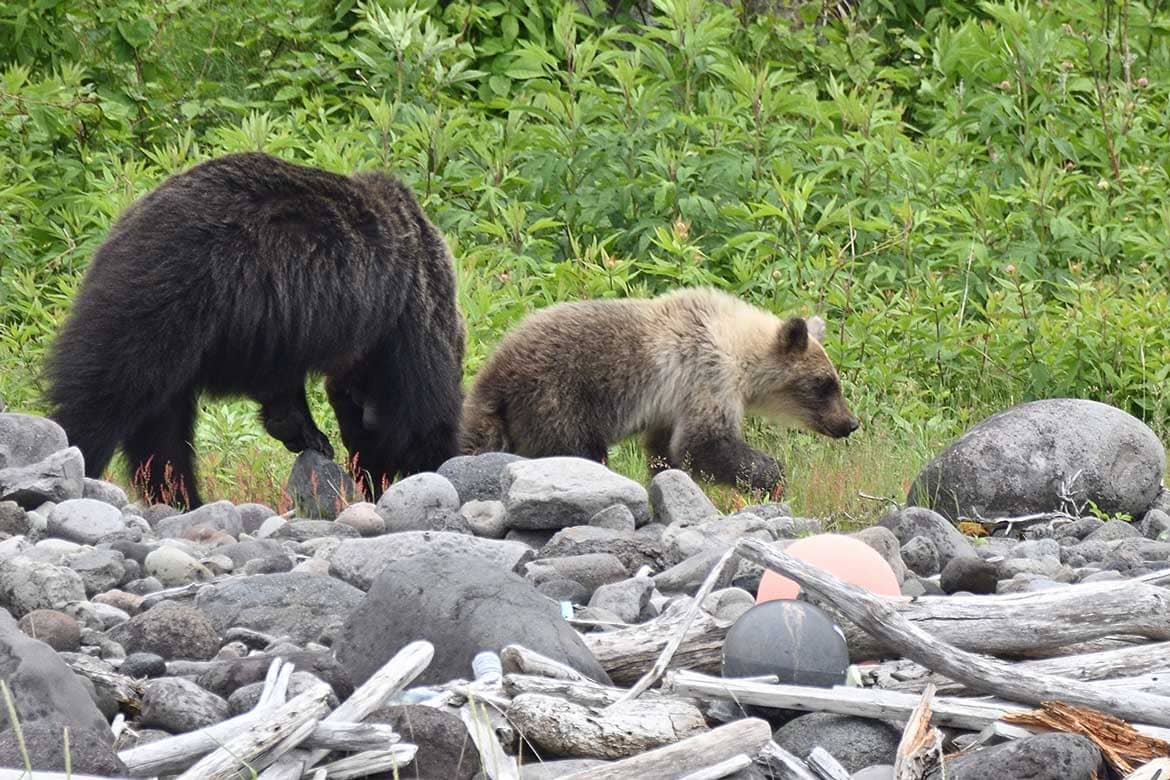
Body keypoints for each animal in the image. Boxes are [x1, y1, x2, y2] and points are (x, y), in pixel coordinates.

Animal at [45, 152, 465, 507]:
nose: (371, 481)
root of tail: (122, 229)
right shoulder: (405, 313)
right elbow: (423, 407)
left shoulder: (285, 326)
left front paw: (304, 431)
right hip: (169, 297)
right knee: (106, 393)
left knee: (162, 426)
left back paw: (180, 497)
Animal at [460, 286, 856, 491]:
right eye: (824, 383)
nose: (850, 423)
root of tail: (494, 371)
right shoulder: (708, 376)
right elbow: (705, 442)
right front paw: (772, 476)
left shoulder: (672, 405)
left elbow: (666, 450)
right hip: (557, 397)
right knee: (574, 448)